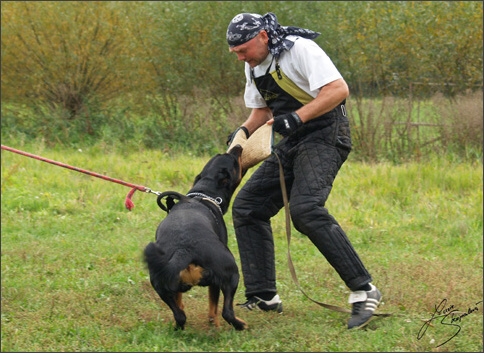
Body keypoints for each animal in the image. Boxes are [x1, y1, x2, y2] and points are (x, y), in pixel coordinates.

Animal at [144, 145, 248, 330]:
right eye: (234, 161)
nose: (237, 147)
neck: (203, 194)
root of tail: (184, 251)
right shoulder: (217, 283)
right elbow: (213, 306)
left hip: (158, 282)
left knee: (180, 315)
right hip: (231, 274)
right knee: (226, 312)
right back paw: (240, 325)